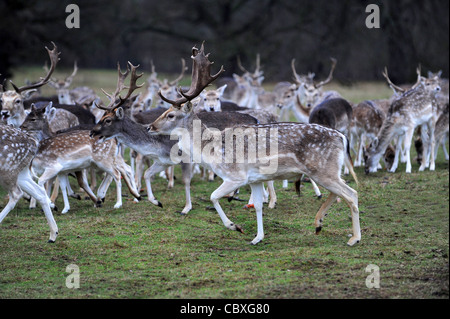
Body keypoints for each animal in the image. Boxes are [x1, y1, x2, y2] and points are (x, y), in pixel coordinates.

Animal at [149, 43, 360, 248]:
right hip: (328, 170)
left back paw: (354, 238)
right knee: (339, 192)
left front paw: (235, 226)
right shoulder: (256, 179)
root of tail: (341, 137)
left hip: (323, 169)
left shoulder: (235, 176)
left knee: (351, 193)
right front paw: (257, 237)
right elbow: (258, 205)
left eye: (170, 115)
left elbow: (213, 196)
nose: (150, 127)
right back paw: (318, 224)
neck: (211, 150)